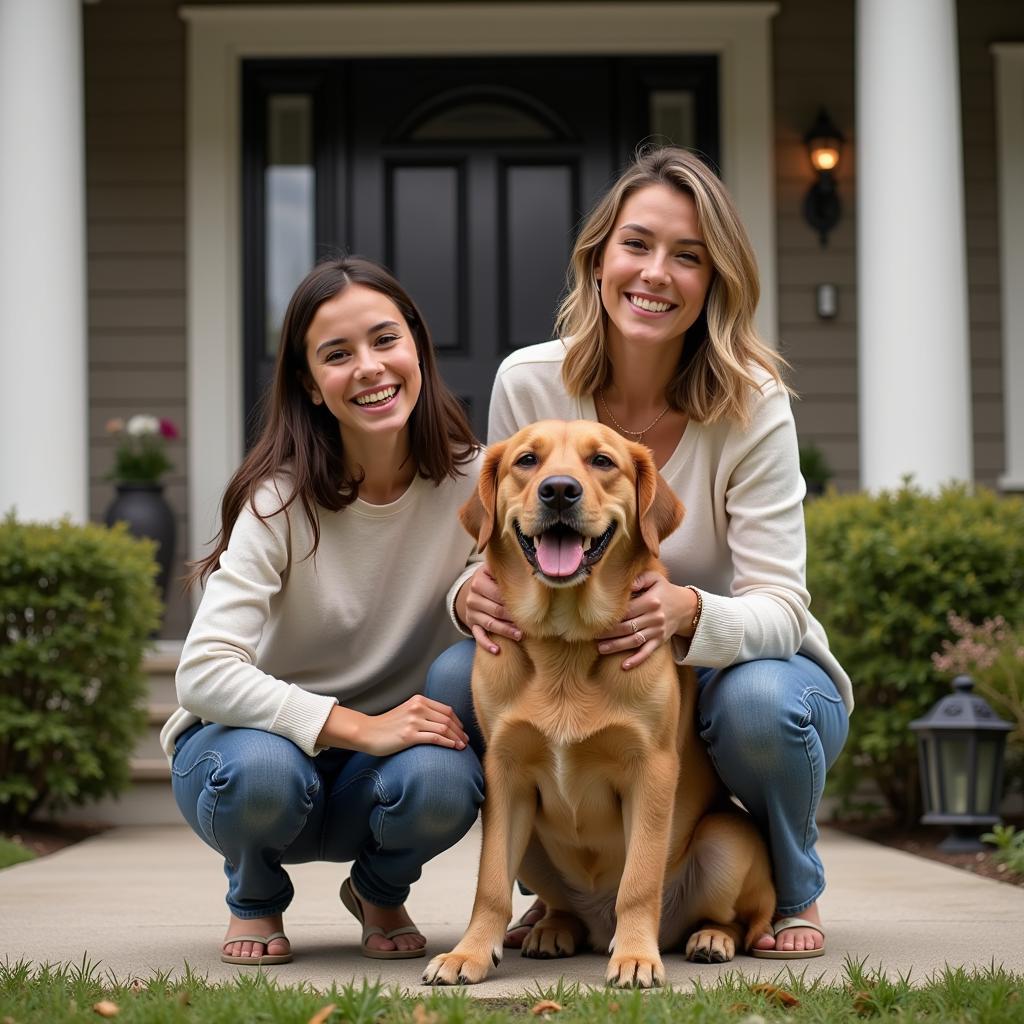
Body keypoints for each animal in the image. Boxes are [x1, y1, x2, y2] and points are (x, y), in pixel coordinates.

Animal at [421, 419, 770, 987]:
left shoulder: (651, 770)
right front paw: (467, 954)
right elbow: (490, 883)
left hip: (728, 841)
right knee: (558, 905)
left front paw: (635, 958)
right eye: (526, 460)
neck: (566, 643)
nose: (559, 490)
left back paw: (709, 938)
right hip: (534, 845)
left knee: (739, 918)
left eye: (602, 461)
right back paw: (553, 930)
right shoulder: (506, 773)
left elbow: (640, 880)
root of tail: (596, 919)